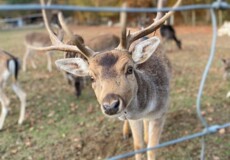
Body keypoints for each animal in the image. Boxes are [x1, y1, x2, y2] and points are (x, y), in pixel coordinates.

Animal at [30, 0, 181, 159]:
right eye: (91, 77)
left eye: (130, 69)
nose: (110, 105)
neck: (146, 108)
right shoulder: (134, 119)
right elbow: (138, 146)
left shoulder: (161, 112)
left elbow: (152, 148)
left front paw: (148, 139)